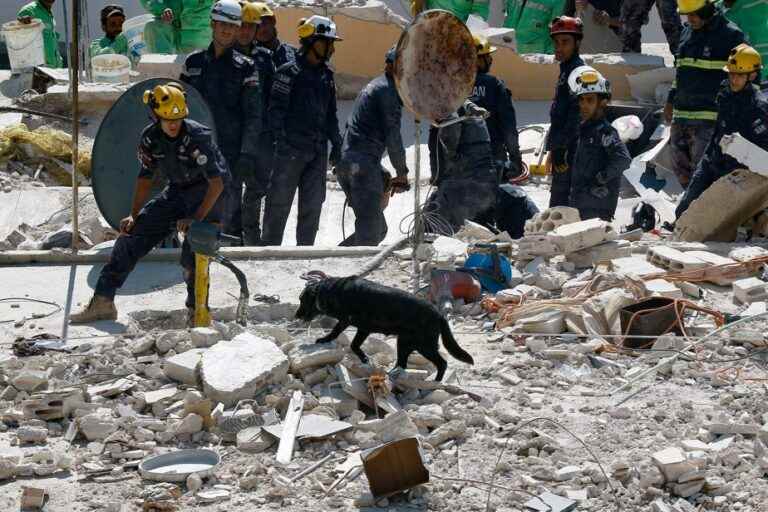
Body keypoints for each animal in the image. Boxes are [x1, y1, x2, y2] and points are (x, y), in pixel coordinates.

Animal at [296, 276, 472, 380]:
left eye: (302, 300)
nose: (296, 316)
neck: (331, 292)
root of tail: (439, 314)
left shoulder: (351, 324)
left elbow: (340, 335)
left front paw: (324, 340)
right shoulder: (360, 327)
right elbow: (351, 343)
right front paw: (364, 359)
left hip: (424, 346)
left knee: (442, 363)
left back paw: (435, 382)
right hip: (404, 343)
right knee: (402, 364)